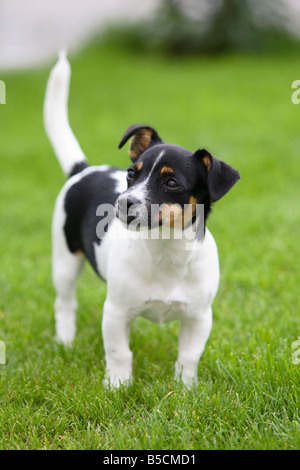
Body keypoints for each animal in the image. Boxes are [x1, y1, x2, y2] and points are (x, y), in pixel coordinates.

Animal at [42, 53, 241, 388]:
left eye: (171, 183)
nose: (123, 202)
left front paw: (185, 389)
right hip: (65, 258)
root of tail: (83, 169)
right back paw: (66, 341)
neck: (165, 249)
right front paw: (117, 387)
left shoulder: (199, 318)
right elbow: (119, 353)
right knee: (65, 303)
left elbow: (189, 357)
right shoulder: (115, 312)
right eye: (131, 174)